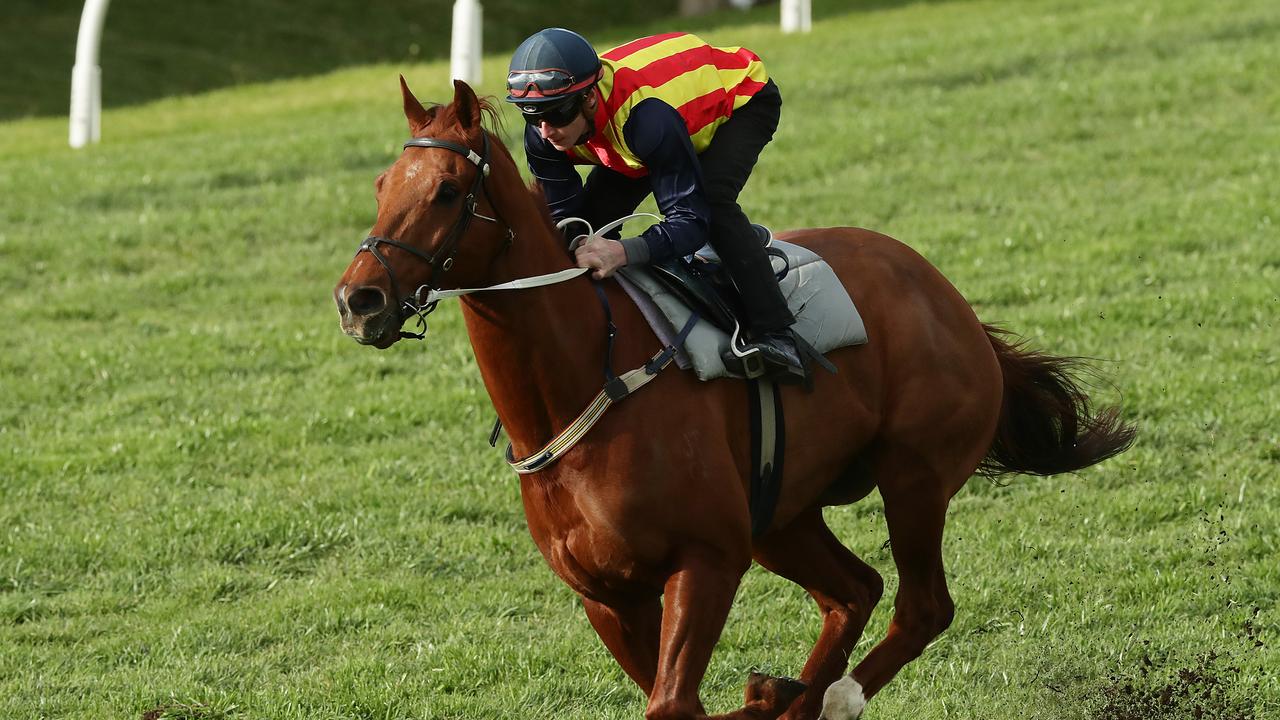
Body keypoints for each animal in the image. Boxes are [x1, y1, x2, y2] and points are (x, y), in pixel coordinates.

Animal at [335, 81, 1136, 712]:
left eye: (445, 191)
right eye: (380, 186)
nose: (359, 300)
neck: (585, 384)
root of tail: (950, 300)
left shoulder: (708, 560)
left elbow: (674, 704)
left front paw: (771, 692)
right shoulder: (608, 597)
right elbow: (673, 701)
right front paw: (769, 691)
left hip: (914, 476)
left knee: (921, 607)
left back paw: (832, 697)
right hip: (781, 515)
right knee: (855, 592)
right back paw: (798, 692)